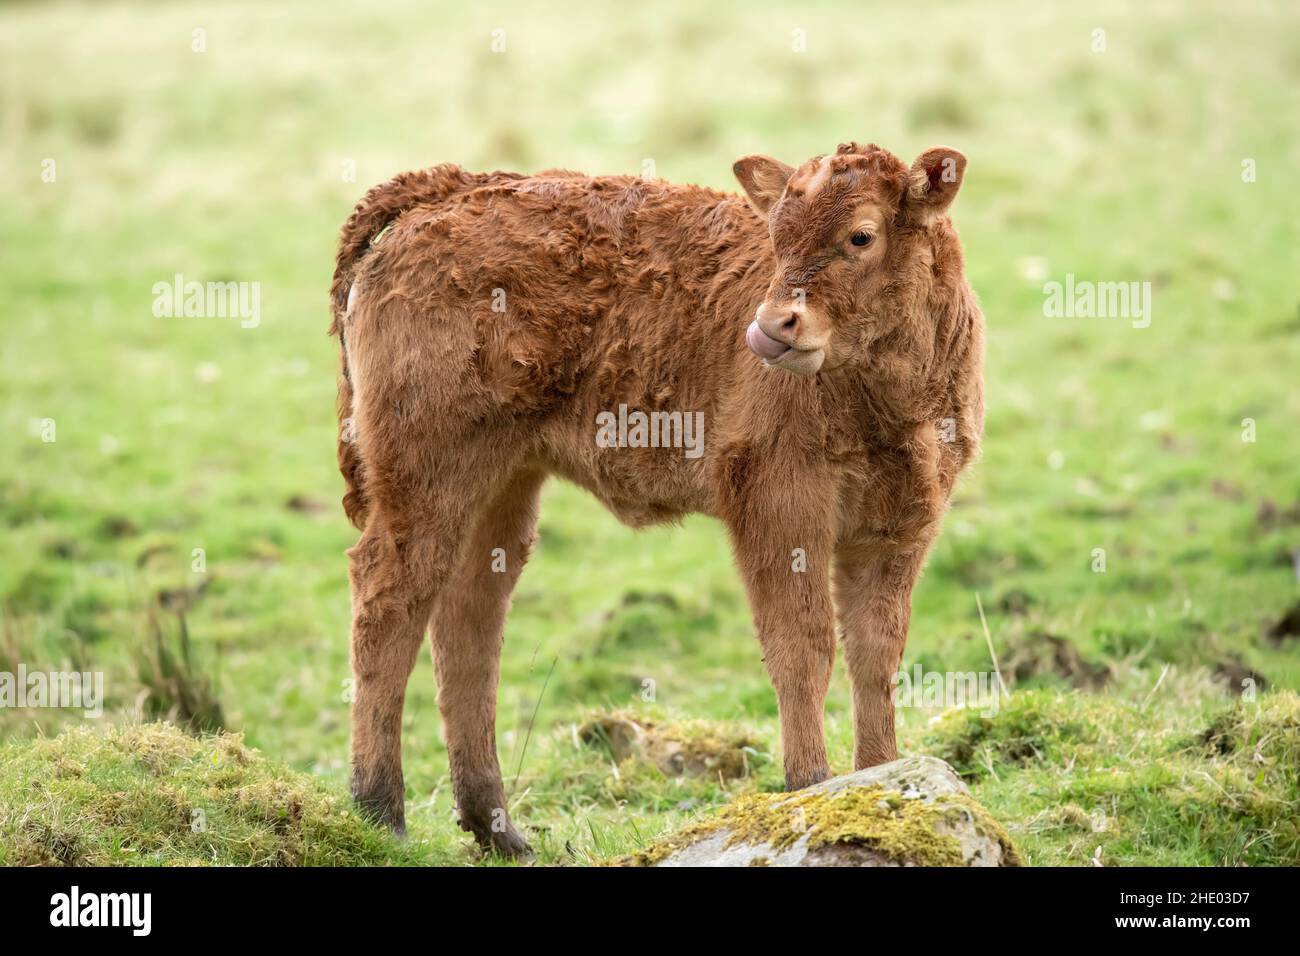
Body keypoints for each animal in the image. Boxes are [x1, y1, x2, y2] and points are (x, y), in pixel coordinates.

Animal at [327, 143, 982, 858]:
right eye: (776, 237)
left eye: (862, 236)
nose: (772, 325)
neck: (889, 401)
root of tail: (451, 187)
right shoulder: (781, 508)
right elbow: (802, 648)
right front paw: (811, 786)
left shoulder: (902, 527)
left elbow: (875, 654)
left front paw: (880, 781)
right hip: (426, 476)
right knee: (388, 598)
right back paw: (379, 812)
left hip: (502, 479)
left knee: (468, 614)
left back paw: (500, 831)